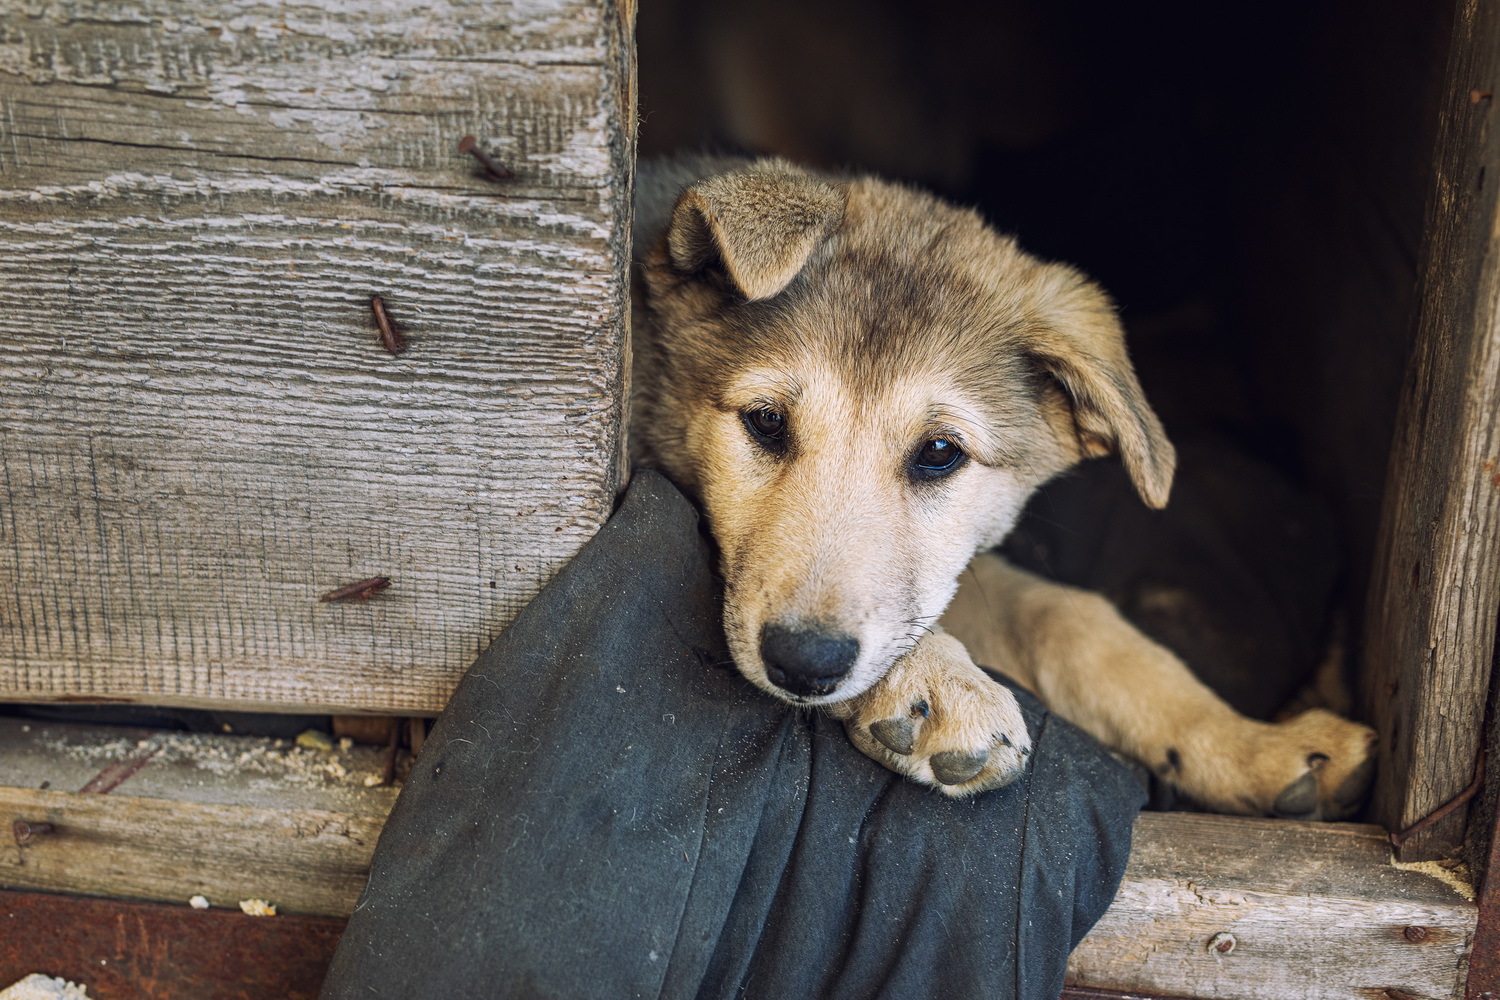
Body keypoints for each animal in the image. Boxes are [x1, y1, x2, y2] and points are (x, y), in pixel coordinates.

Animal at [627, 152, 1374, 815]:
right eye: (765, 421)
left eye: (939, 452)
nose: (804, 663)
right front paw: (938, 682)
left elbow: (1072, 622)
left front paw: (1250, 746)